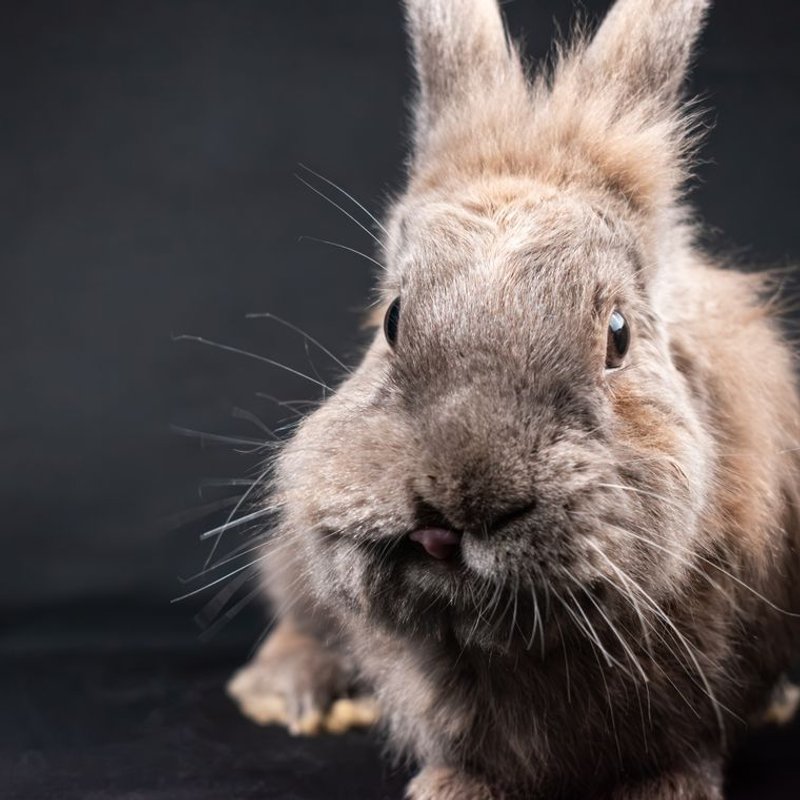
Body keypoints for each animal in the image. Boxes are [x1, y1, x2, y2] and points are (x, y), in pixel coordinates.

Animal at [227, 1, 800, 797]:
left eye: (618, 335)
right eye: (393, 319)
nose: (452, 509)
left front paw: (667, 789)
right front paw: (449, 788)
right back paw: (289, 694)